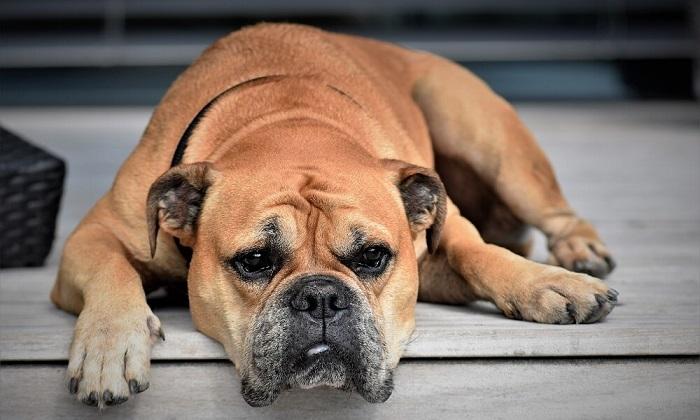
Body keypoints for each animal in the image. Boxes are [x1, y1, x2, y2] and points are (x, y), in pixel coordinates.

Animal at [50, 23, 616, 406]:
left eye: (373, 257)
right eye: (255, 260)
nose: (321, 297)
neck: (288, 122)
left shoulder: (443, 235)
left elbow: (479, 253)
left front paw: (546, 283)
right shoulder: (93, 235)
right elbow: (111, 269)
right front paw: (108, 347)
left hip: (485, 134)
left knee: (552, 212)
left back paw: (578, 252)